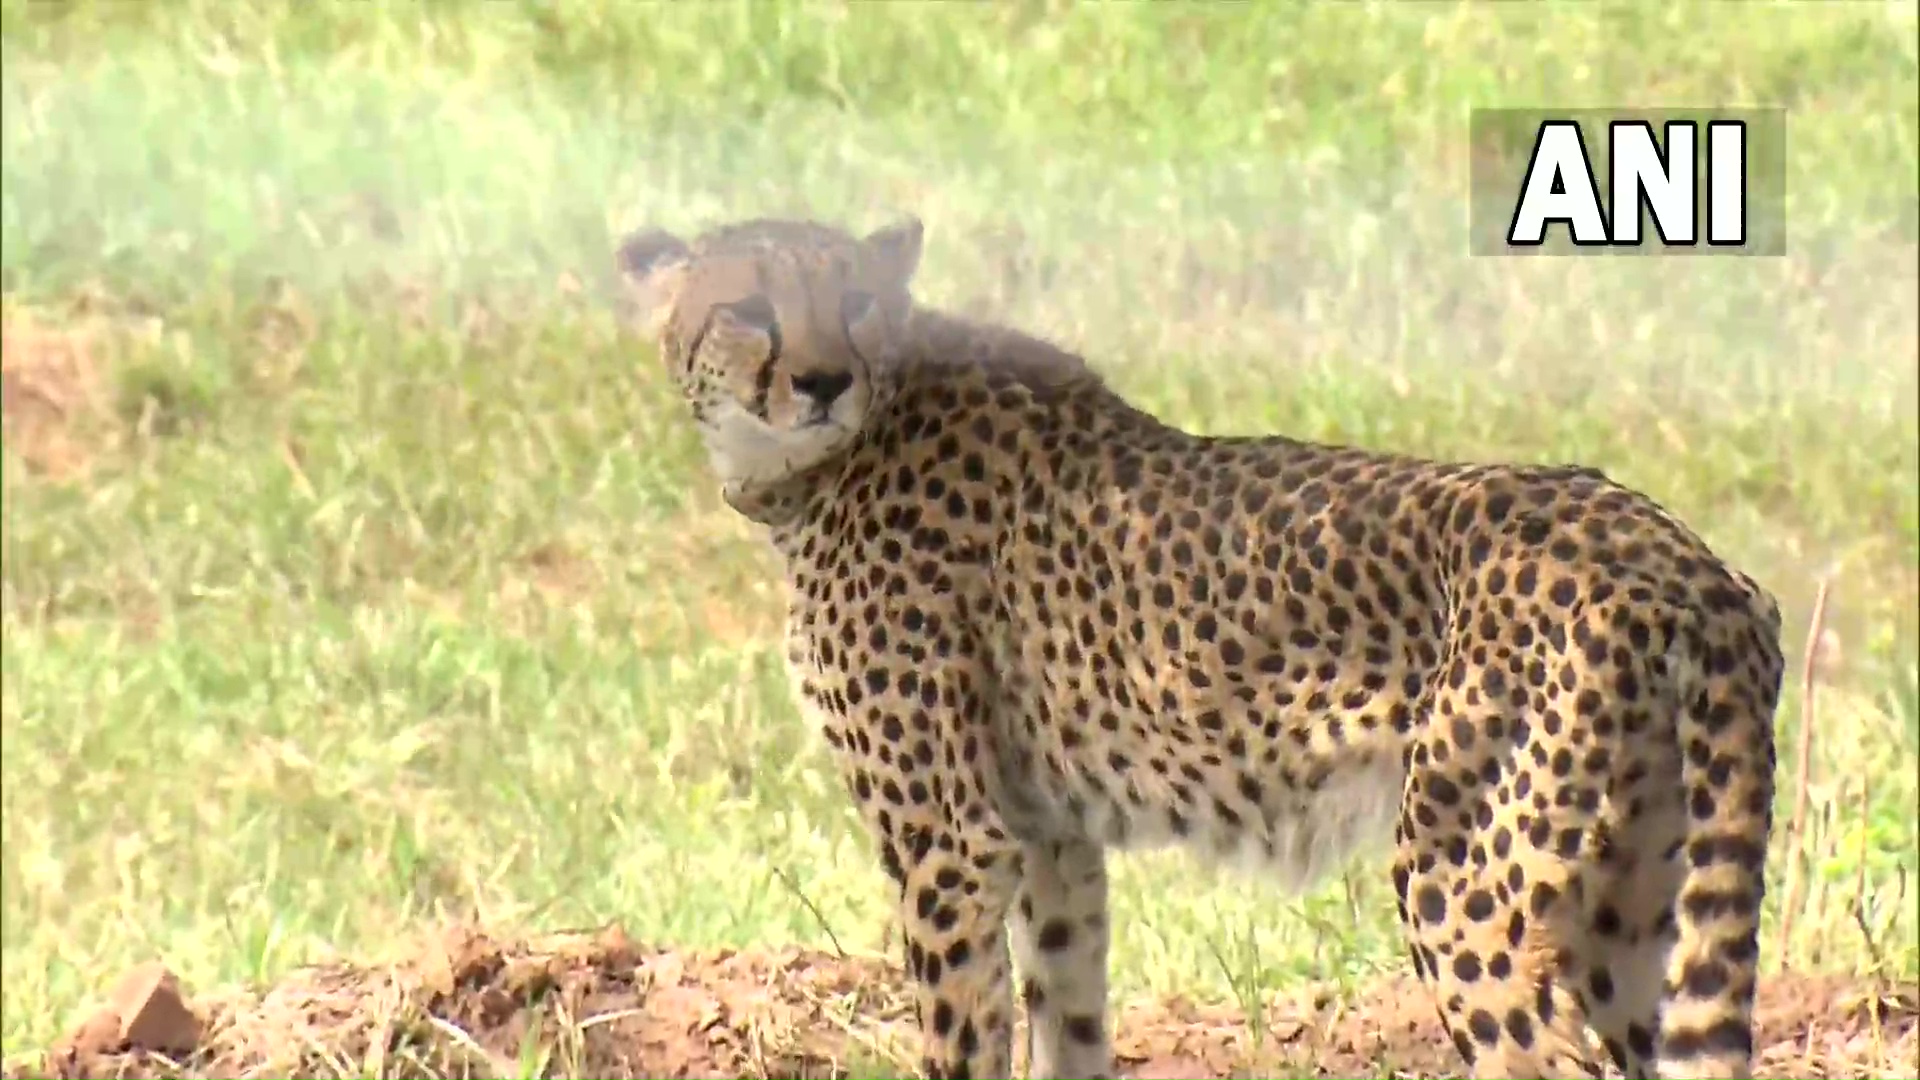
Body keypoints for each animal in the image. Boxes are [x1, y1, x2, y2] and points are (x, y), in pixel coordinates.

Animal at [614, 214, 1781, 1068]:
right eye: (748, 307)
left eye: (853, 301)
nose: (821, 380)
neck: (839, 454)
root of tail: (1682, 556)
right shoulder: (1049, 835)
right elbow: (1067, 1020)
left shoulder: (949, 842)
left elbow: (963, 1038)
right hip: (1634, 902)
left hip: (1463, 885)